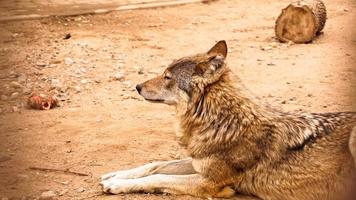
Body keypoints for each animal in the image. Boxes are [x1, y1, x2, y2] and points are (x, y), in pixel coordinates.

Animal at [100, 40, 356, 200]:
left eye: (167, 77)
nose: (137, 86)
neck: (221, 121)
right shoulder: (198, 163)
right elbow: (154, 165)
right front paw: (115, 175)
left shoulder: (211, 183)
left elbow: (159, 176)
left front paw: (116, 185)